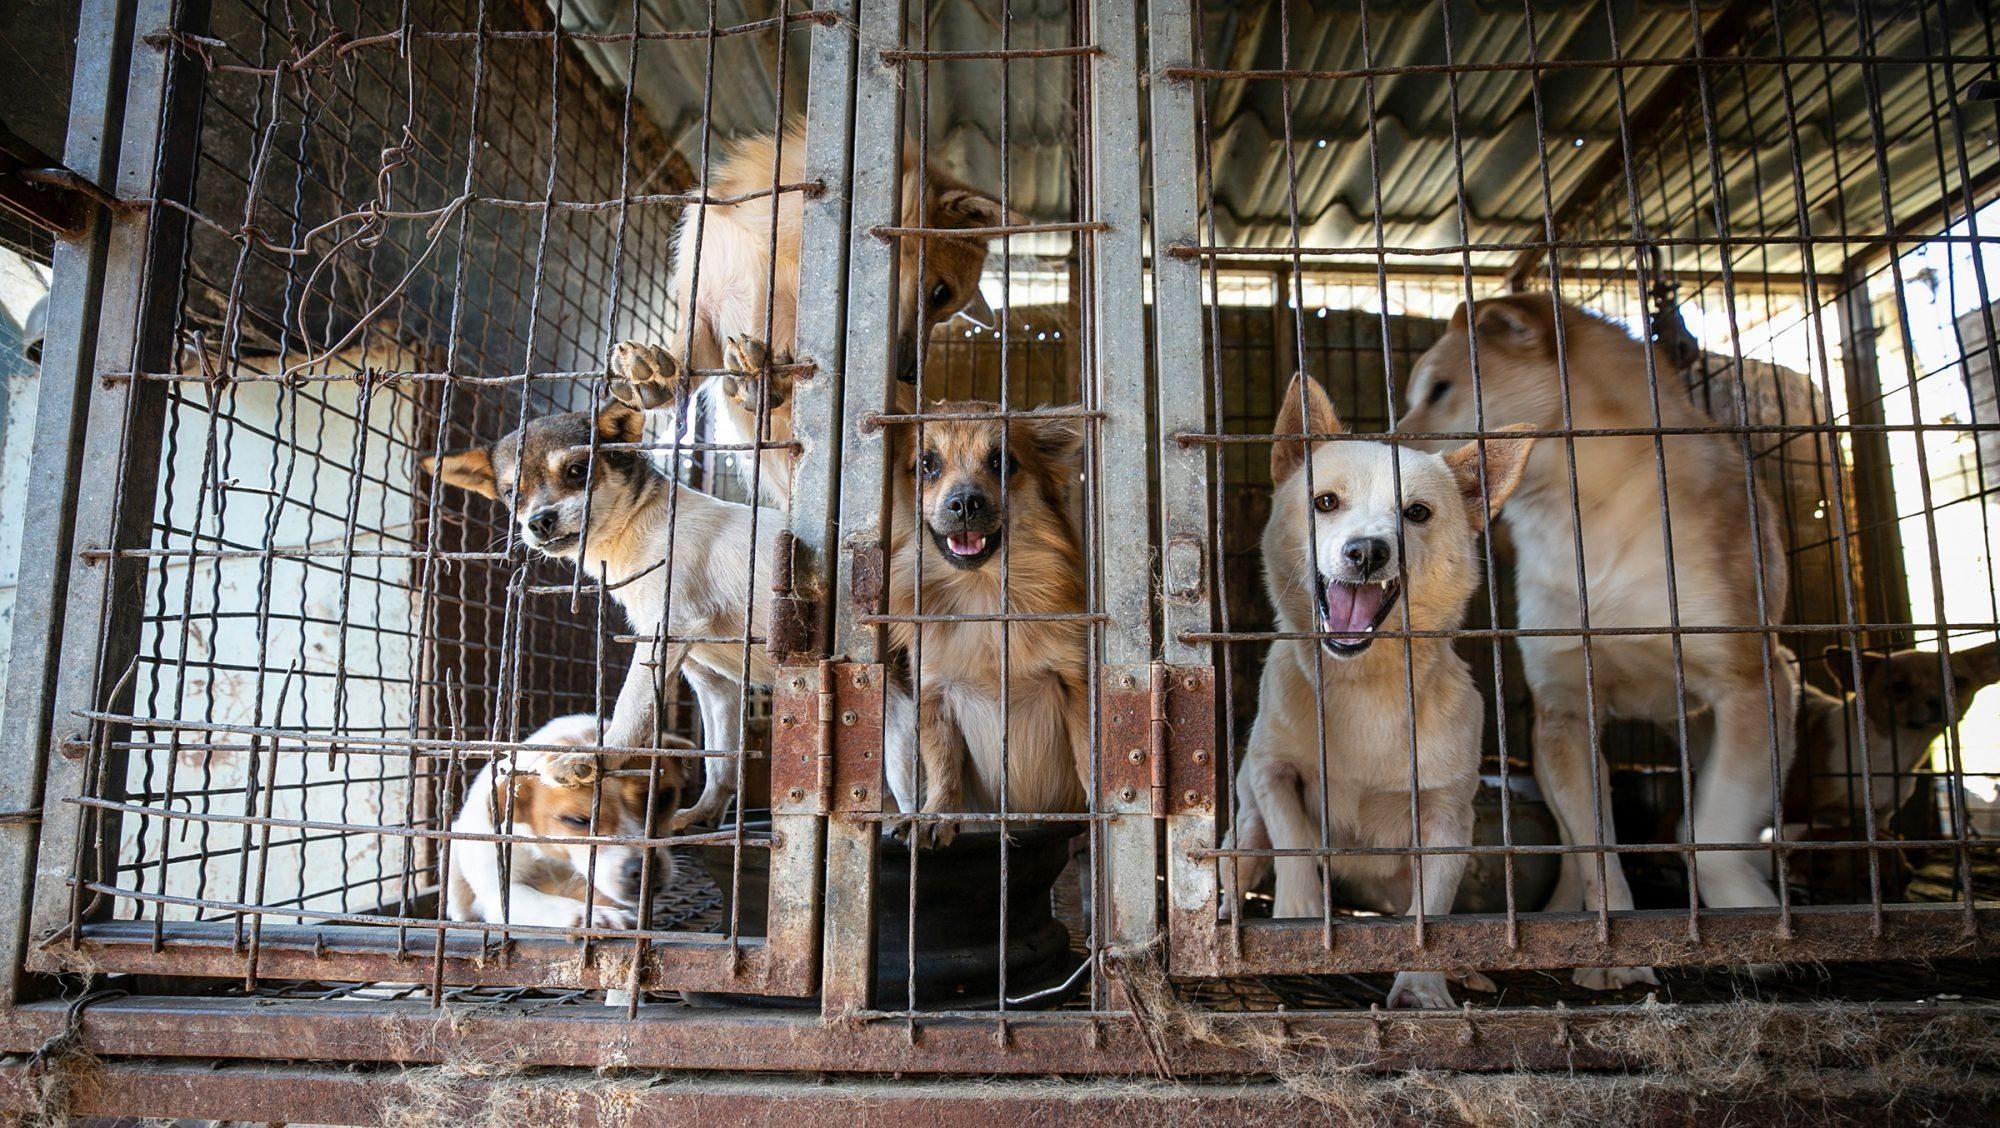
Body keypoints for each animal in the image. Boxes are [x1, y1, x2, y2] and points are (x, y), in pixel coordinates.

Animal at [448, 720, 688, 928]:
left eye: (662, 799)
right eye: (577, 820)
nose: (643, 868)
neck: (558, 859)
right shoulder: (503, 893)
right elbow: (545, 903)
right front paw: (592, 915)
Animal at [884, 404, 1088, 836]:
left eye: (1002, 462)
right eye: (926, 465)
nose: (965, 502)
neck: (983, 594)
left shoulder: (1075, 681)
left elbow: (1088, 753)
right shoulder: (934, 696)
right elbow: (943, 765)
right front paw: (936, 813)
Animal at [1224, 372, 1536, 1012]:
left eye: (1417, 513)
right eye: (1325, 502)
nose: (1367, 550)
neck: (1363, 682)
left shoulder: (1446, 821)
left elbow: (1431, 913)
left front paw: (1422, 986)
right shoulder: (1270, 772)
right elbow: (1296, 840)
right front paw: (1299, 913)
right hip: (1241, 830)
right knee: (1240, 868)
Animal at [1400, 296, 1808, 992]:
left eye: (1441, 389)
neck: (1585, 518)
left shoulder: (1756, 682)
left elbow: (1710, 828)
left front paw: (1754, 926)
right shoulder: (1564, 708)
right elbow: (1594, 845)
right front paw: (1609, 950)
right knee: (1571, 845)